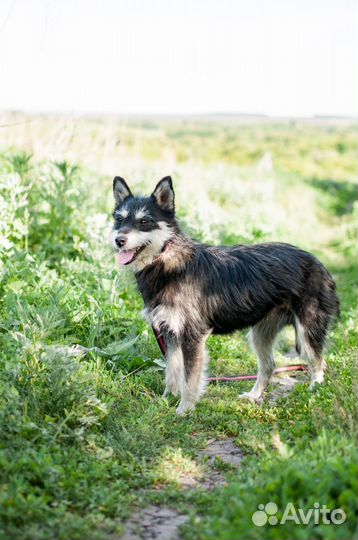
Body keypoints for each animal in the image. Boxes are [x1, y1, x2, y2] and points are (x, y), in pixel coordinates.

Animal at [110, 175, 340, 416]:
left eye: (144, 221)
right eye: (119, 219)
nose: (119, 240)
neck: (168, 261)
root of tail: (318, 263)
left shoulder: (192, 336)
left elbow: (189, 379)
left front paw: (184, 410)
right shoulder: (169, 332)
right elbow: (172, 372)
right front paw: (166, 399)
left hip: (308, 331)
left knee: (318, 364)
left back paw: (314, 393)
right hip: (260, 334)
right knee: (269, 366)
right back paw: (254, 396)